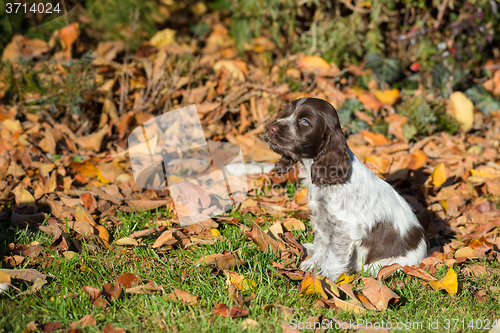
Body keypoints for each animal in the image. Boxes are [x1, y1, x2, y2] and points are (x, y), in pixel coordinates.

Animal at [264, 96, 428, 280]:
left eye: (304, 121)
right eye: (285, 112)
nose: (271, 128)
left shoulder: (344, 228)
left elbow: (333, 256)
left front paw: (325, 279)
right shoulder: (322, 219)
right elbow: (322, 245)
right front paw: (313, 265)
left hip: (382, 266)